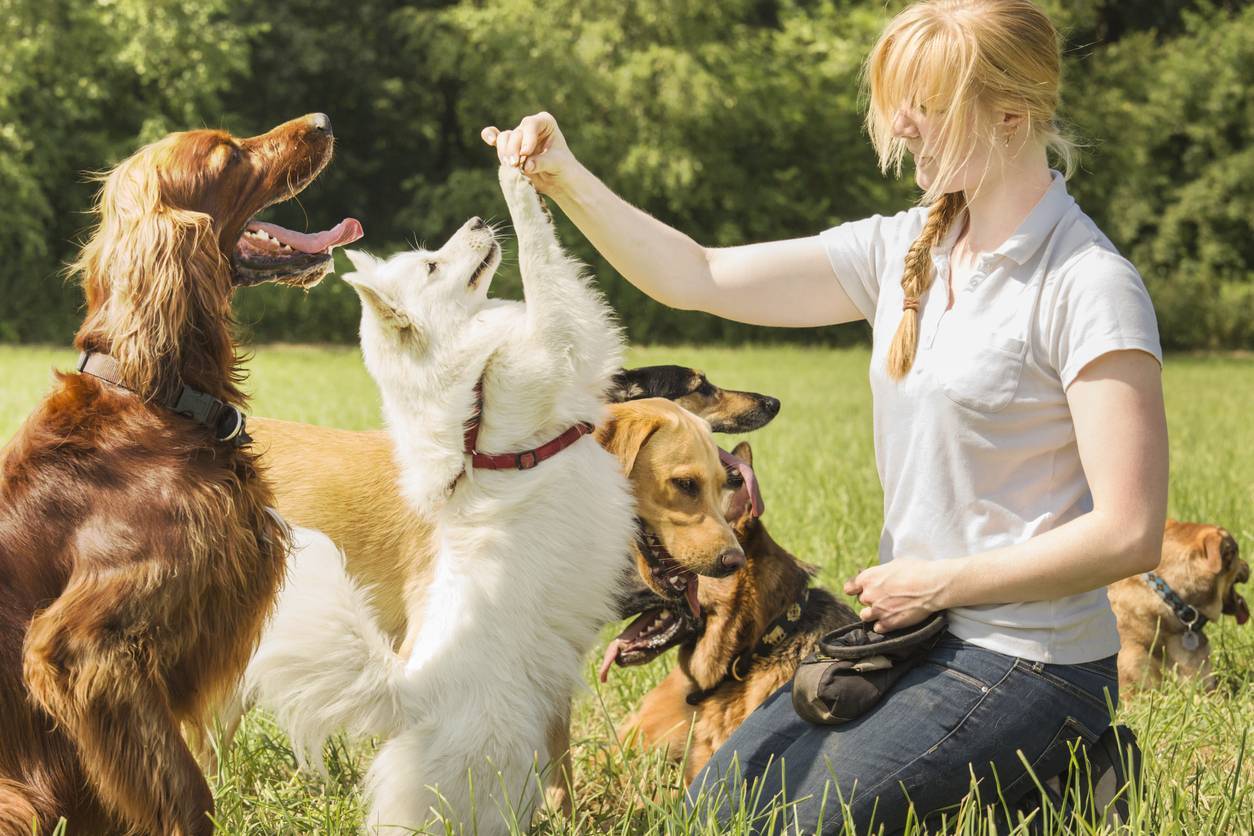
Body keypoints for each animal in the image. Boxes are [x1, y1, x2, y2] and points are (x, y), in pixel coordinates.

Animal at [0, 114, 358, 832]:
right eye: (229, 156)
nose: (324, 122)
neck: (154, 396)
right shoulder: (81, 650)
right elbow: (188, 792)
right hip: (14, 798)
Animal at [244, 166, 637, 832]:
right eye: (432, 265)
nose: (476, 221)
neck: (474, 388)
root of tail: (410, 693)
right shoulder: (563, 337)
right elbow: (542, 260)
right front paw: (516, 177)